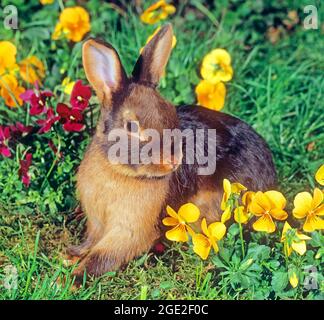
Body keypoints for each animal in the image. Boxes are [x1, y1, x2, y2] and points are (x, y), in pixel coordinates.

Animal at [71, 23, 276, 280]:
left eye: (170, 112)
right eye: (131, 127)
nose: (172, 160)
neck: (117, 172)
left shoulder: (129, 231)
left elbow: (103, 256)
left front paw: (72, 279)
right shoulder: (97, 223)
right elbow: (92, 243)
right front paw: (71, 257)